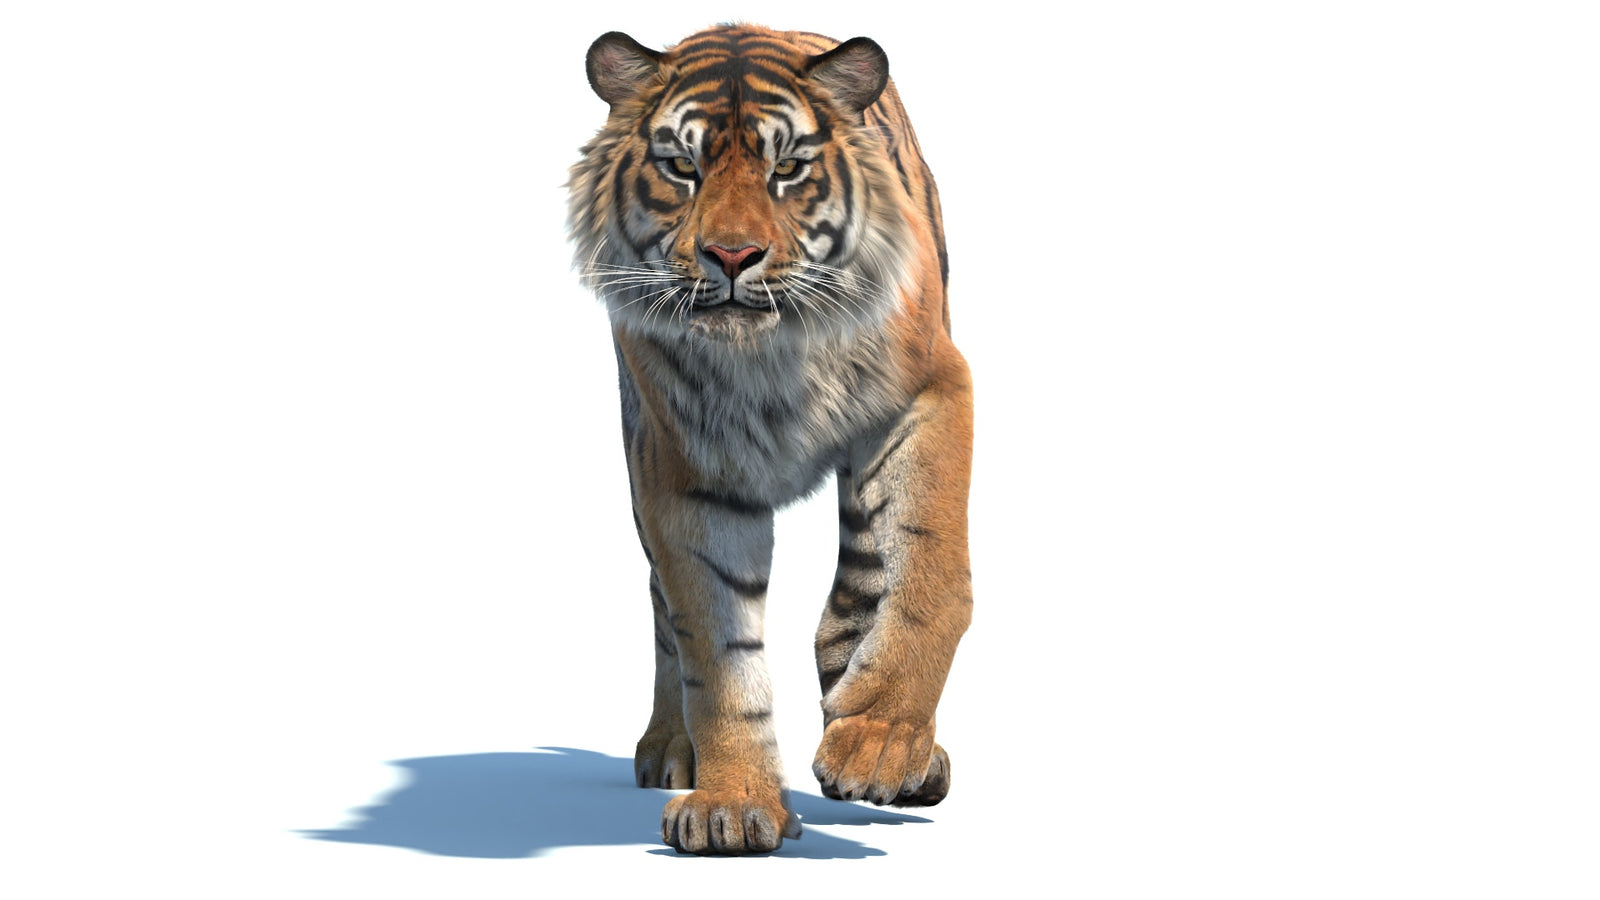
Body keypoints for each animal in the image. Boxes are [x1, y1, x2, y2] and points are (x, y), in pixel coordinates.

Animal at [567, 23, 973, 855]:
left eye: (787, 170)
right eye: (681, 168)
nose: (730, 256)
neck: (769, 358)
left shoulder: (930, 393)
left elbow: (927, 574)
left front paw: (880, 741)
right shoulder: (683, 472)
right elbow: (717, 653)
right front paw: (732, 803)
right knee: (663, 612)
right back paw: (670, 746)